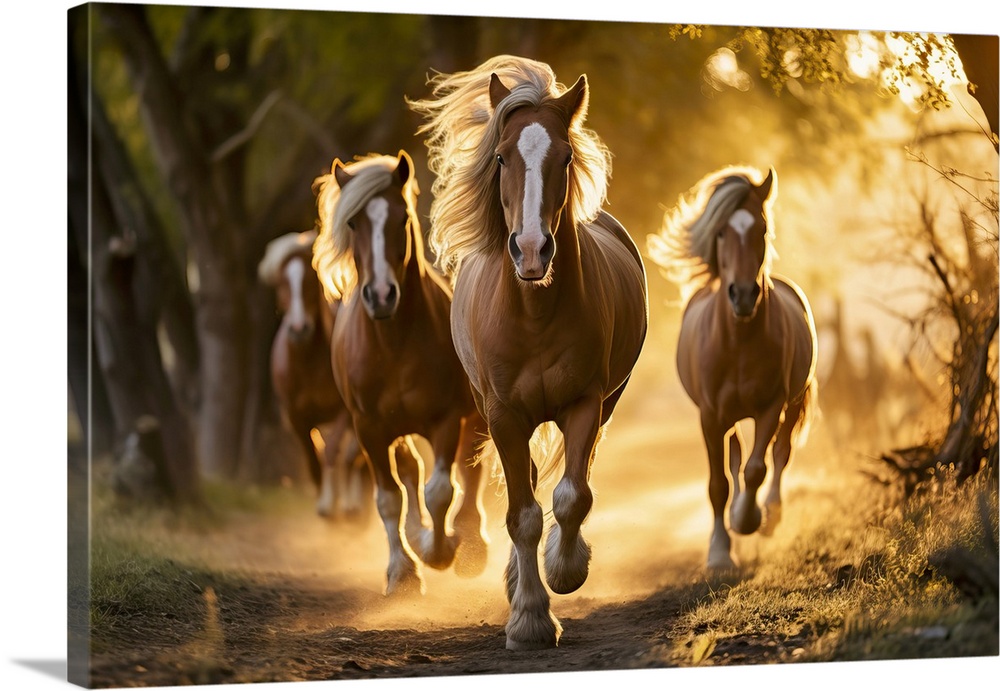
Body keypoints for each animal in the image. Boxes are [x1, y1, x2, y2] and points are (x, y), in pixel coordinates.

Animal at [258, 230, 372, 520]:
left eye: (310, 280)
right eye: (282, 284)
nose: (299, 328)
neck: (308, 365)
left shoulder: (345, 411)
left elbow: (333, 451)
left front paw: (332, 504)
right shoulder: (296, 416)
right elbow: (313, 457)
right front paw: (322, 497)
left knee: (353, 457)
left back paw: (353, 503)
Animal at [308, 150, 488, 596]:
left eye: (401, 217)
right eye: (353, 222)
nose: (382, 295)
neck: (393, 345)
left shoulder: (445, 419)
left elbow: (441, 489)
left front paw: (440, 551)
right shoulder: (370, 429)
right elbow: (389, 497)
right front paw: (402, 572)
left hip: (473, 415)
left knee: (468, 469)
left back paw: (469, 544)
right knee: (410, 472)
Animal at [406, 56, 648, 652]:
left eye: (565, 156)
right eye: (500, 157)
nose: (533, 250)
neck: (534, 313)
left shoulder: (586, 404)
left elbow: (571, 497)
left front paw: (564, 570)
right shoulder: (502, 416)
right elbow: (522, 514)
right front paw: (530, 619)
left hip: (606, 404)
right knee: (529, 489)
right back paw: (519, 582)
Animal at [644, 165, 816, 572]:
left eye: (762, 229)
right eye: (721, 232)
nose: (744, 295)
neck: (738, 342)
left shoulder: (771, 405)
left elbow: (757, 468)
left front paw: (748, 519)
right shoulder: (710, 416)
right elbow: (718, 483)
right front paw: (720, 552)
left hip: (792, 403)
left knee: (780, 453)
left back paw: (769, 514)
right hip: (729, 417)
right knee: (736, 456)